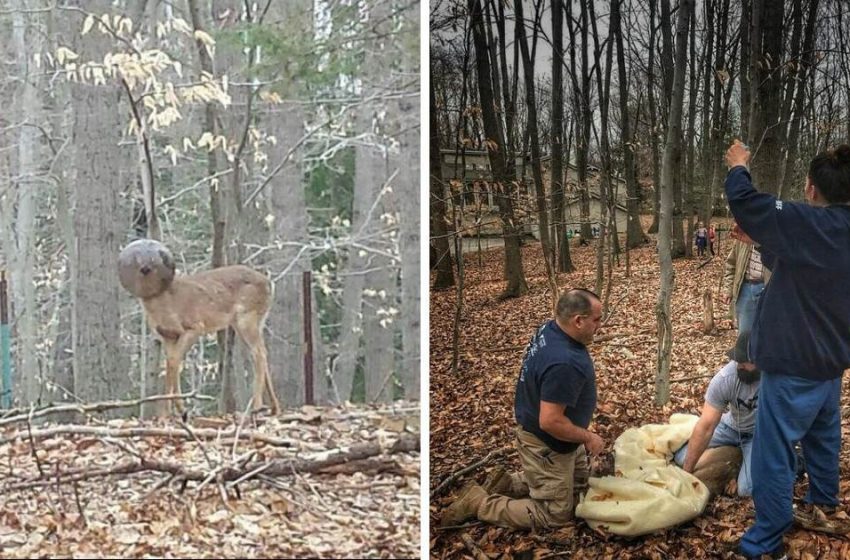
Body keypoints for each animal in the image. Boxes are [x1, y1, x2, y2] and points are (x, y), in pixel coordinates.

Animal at [117, 238, 282, 414]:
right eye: (137, 259)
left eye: (156, 259)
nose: (145, 268)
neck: (166, 304)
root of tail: (269, 283)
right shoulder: (168, 337)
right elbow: (172, 363)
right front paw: (174, 410)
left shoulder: (194, 327)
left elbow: (174, 362)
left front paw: (172, 410)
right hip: (250, 322)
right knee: (261, 352)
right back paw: (274, 407)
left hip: (247, 318)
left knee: (259, 354)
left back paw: (257, 407)